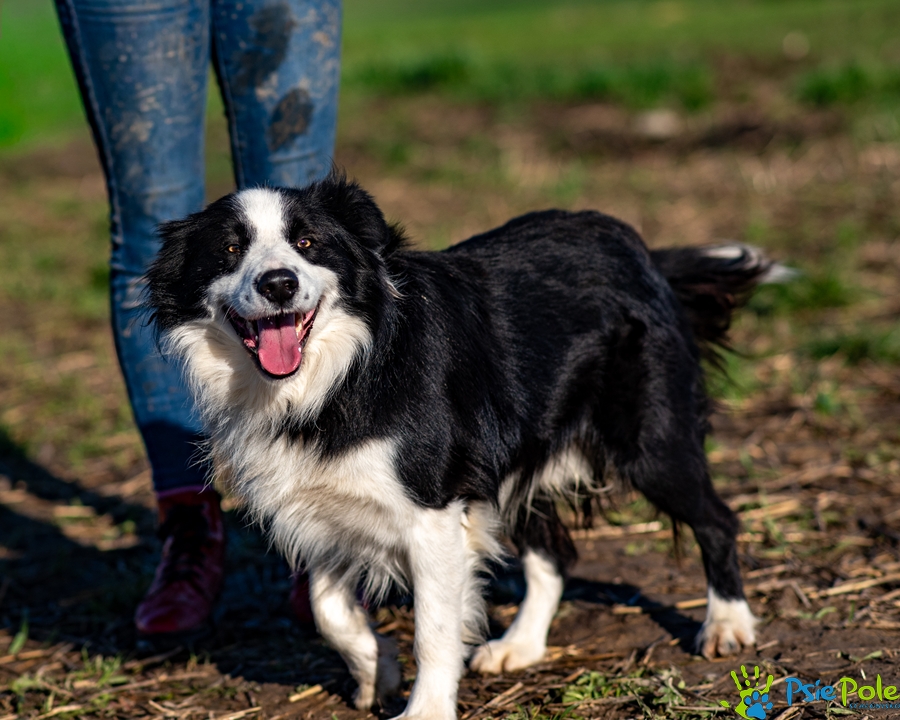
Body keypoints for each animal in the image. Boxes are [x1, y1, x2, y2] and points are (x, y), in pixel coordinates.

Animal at [147, 173, 776, 719]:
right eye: (229, 250)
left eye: (307, 243)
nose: (278, 283)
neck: (338, 376)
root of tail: (637, 247)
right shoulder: (325, 506)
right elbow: (328, 609)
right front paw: (378, 672)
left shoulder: (433, 511)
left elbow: (434, 627)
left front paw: (424, 709)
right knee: (554, 552)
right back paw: (520, 646)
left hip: (651, 443)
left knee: (717, 519)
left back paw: (727, 625)